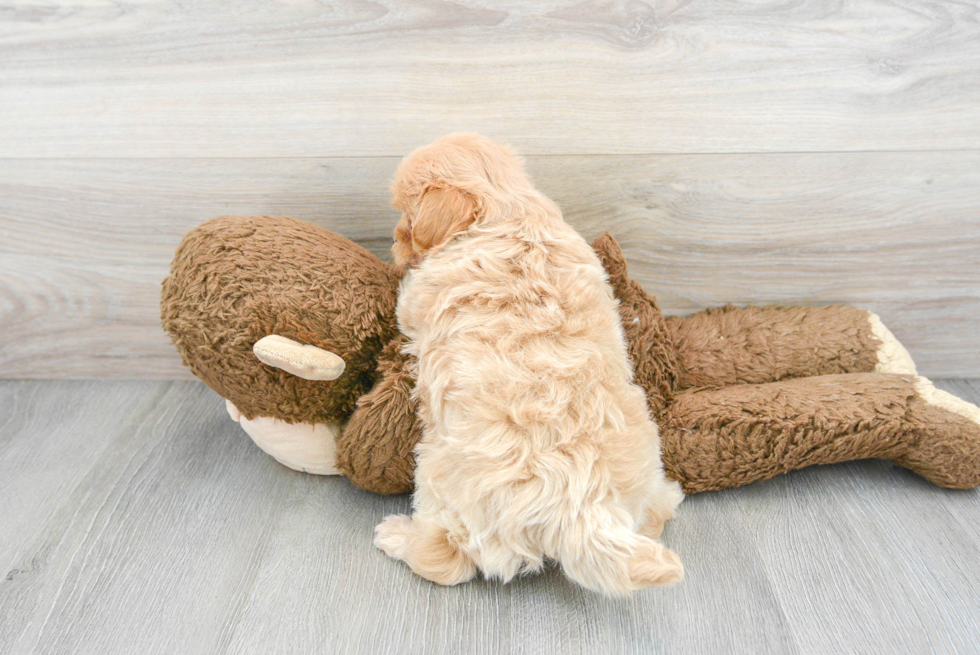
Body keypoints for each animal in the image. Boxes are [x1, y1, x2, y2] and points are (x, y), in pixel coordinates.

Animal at [374, 132, 680, 596]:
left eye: (406, 217)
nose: (392, 239)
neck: (509, 210)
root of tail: (582, 510)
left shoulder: (416, 302)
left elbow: (407, 300)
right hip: (644, 466)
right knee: (654, 515)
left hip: (441, 480)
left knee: (444, 560)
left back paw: (396, 536)